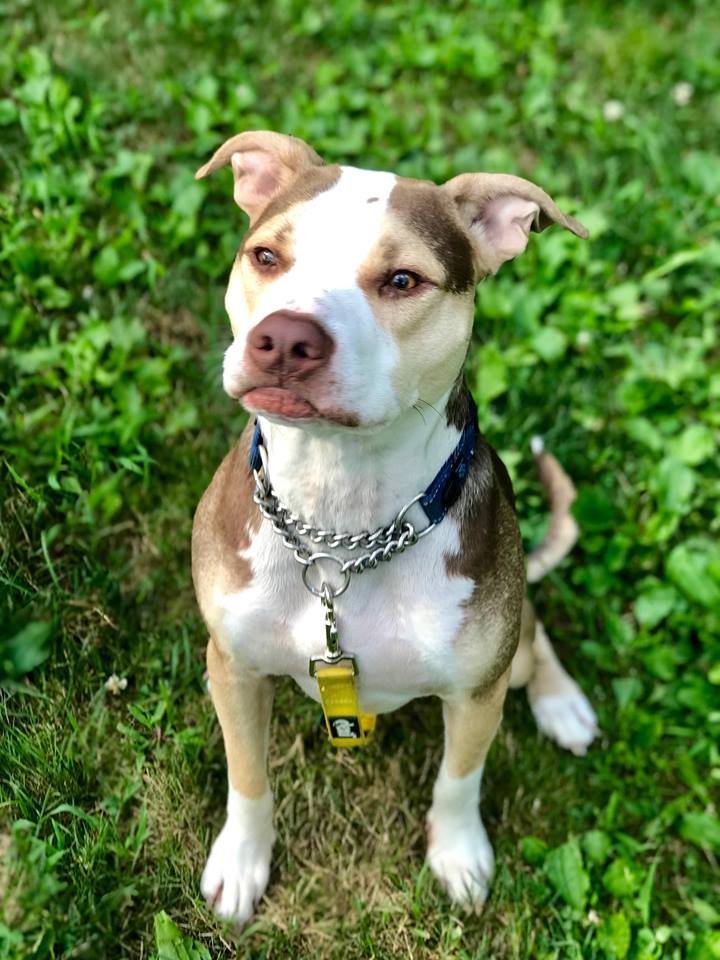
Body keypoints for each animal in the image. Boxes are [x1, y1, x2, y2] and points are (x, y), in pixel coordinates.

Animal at [190, 131, 596, 928]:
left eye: (404, 280)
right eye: (266, 256)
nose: (285, 339)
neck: (338, 524)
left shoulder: (476, 696)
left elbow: (459, 782)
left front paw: (459, 854)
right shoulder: (233, 666)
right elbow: (247, 776)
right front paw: (242, 862)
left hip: (507, 649)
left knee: (533, 631)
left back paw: (562, 702)